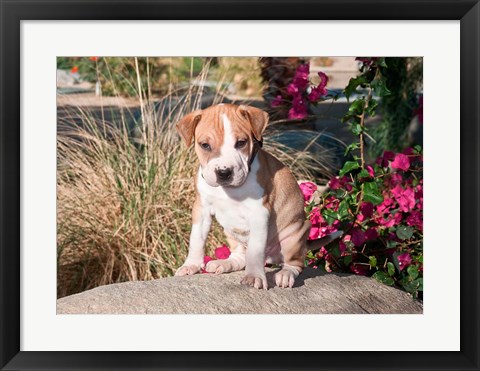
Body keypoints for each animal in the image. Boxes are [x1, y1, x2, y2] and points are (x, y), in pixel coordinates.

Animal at [174, 104, 336, 290]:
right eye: (205, 145)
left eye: (241, 143)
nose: (224, 172)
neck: (229, 190)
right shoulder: (201, 209)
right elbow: (196, 239)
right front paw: (191, 265)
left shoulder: (259, 213)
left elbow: (255, 250)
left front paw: (254, 276)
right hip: (232, 234)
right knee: (240, 256)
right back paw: (225, 263)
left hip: (295, 235)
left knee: (295, 264)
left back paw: (285, 275)